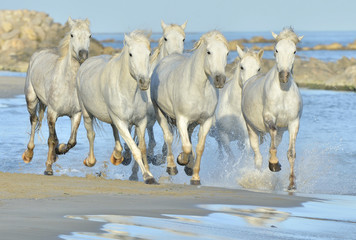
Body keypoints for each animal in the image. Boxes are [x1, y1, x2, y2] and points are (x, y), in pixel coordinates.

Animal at [22, 16, 91, 174]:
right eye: (72, 35)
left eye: (90, 35)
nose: (83, 54)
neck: (68, 84)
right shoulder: (53, 113)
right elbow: (51, 140)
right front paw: (48, 168)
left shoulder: (76, 114)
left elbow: (72, 141)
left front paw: (59, 150)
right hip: (31, 100)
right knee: (34, 121)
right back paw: (28, 154)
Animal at [76, 30, 156, 184]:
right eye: (131, 54)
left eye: (149, 53)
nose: (144, 82)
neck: (128, 92)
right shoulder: (122, 122)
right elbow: (135, 149)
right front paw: (147, 176)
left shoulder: (140, 122)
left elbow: (142, 148)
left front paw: (149, 174)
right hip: (87, 113)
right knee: (91, 135)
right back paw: (89, 161)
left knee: (114, 132)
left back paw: (117, 156)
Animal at [150, 30, 228, 184]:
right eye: (209, 52)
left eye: (227, 53)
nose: (220, 80)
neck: (198, 88)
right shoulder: (181, 119)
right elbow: (186, 147)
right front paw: (181, 159)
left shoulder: (206, 121)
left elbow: (198, 148)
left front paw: (194, 176)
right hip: (160, 113)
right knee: (168, 137)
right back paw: (172, 166)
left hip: (191, 124)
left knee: (189, 138)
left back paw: (188, 166)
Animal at [241, 27, 302, 189]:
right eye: (276, 50)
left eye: (294, 51)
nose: (284, 76)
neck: (283, 92)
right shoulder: (269, 117)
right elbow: (272, 136)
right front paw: (274, 164)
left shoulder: (293, 122)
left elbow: (291, 153)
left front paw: (291, 183)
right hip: (251, 127)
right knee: (257, 156)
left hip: (281, 131)